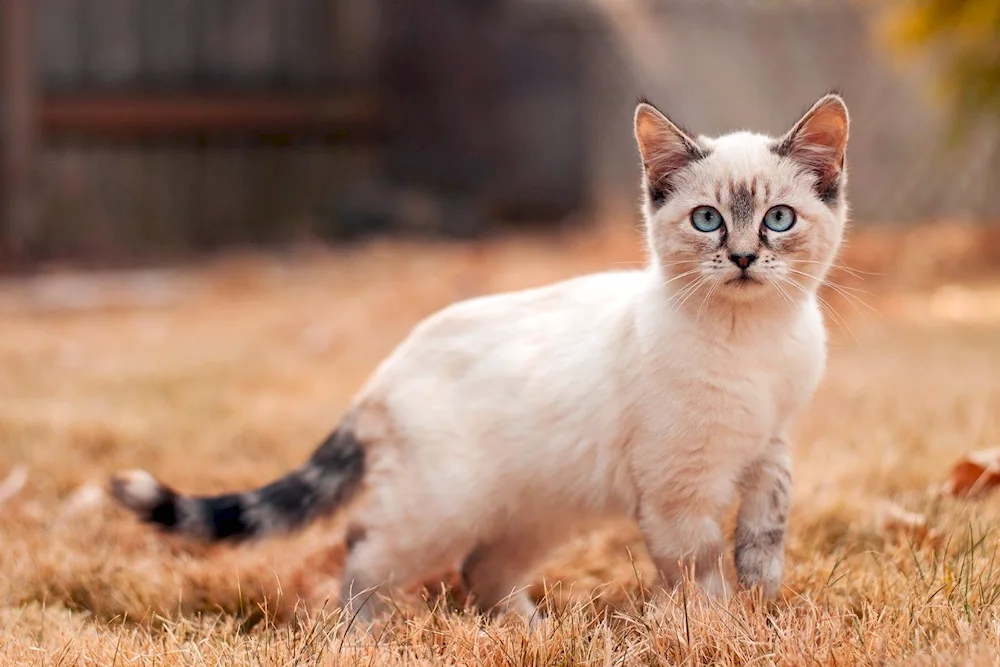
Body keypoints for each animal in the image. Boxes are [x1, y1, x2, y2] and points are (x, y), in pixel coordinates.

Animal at [115, 94, 852, 628]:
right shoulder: (680, 489)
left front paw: (762, 600)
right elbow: (699, 577)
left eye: (779, 219)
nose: (744, 258)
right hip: (441, 507)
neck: (751, 341)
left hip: (536, 510)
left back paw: (540, 635)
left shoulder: (770, 442)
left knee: (480, 571)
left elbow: (766, 526)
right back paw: (366, 637)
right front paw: (721, 631)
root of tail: (381, 374)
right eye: (707, 220)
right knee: (364, 550)